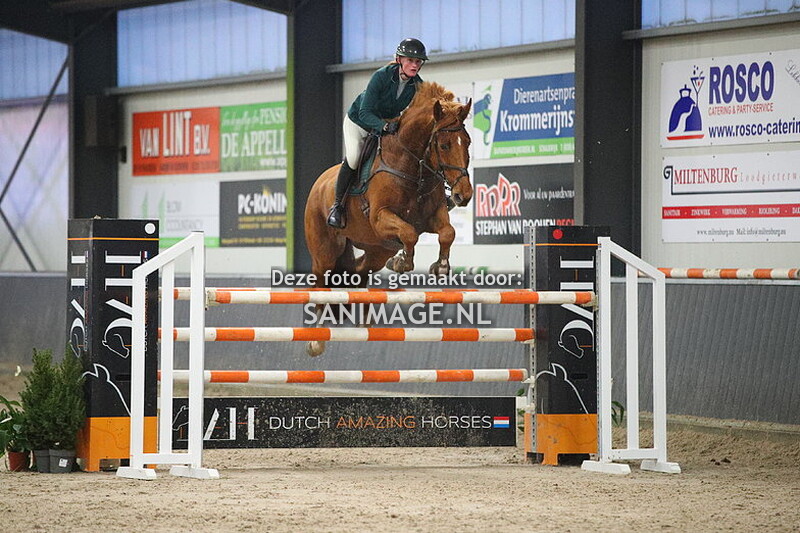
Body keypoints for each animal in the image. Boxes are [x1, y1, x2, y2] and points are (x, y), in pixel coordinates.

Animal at [303, 82, 473, 356]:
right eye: (444, 145)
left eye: (467, 143)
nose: (463, 195)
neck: (412, 166)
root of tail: (318, 184)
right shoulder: (381, 218)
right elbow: (409, 234)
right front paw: (403, 262)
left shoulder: (434, 217)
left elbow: (448, 233)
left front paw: (440, 266)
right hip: (325, 251)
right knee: (321, 283)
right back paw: (316, 340)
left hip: (377, 250)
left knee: (358, 271)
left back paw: (364, 322)